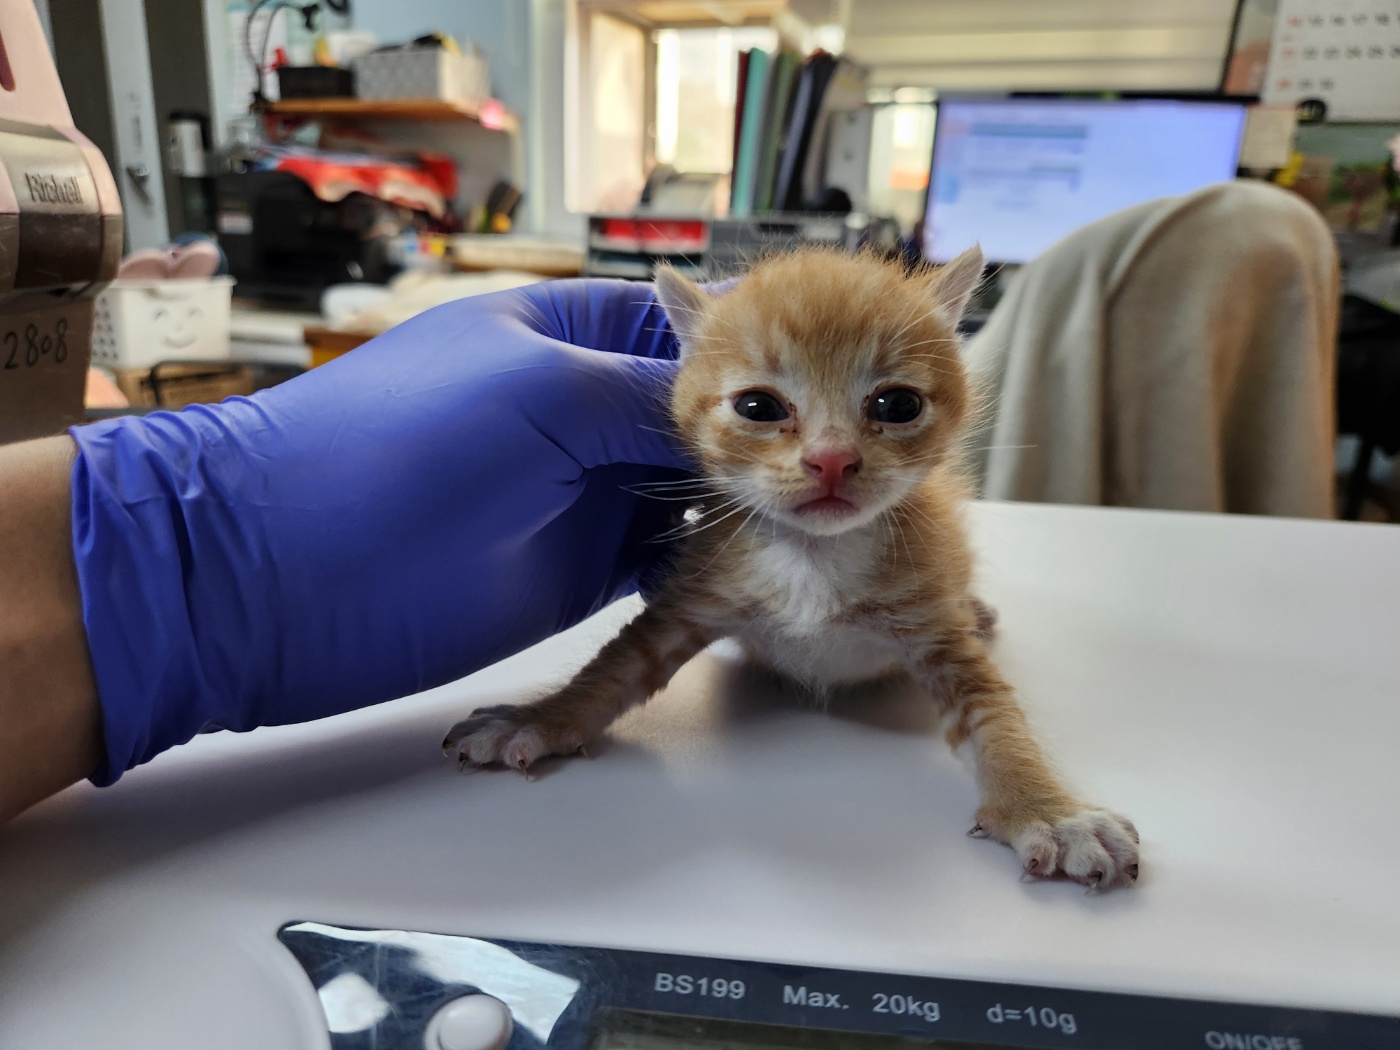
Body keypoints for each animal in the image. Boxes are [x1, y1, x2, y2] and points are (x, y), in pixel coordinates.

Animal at [445, 250, 1136, 890]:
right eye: (758, 406)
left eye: (898, 404)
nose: (831, 459)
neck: (814, 558)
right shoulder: (694, 596)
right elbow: (613, 669)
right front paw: (541, 717)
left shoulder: (934, 625)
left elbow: (996, 718)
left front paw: (1049, 811)